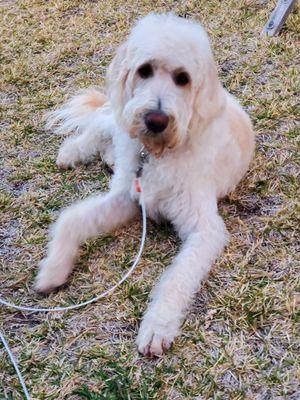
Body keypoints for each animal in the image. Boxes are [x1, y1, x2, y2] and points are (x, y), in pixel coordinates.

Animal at [35, 13, 255, 356]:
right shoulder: (127, 197)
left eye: (183, 78)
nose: (155, 120)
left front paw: (157, 325)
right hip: (120, 120)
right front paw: (53, 269)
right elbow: (72, 219)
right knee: (100, 123)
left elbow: (178, 278)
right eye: (145, 70)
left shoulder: (203, 230)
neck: (156, 155)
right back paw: (73, 151)